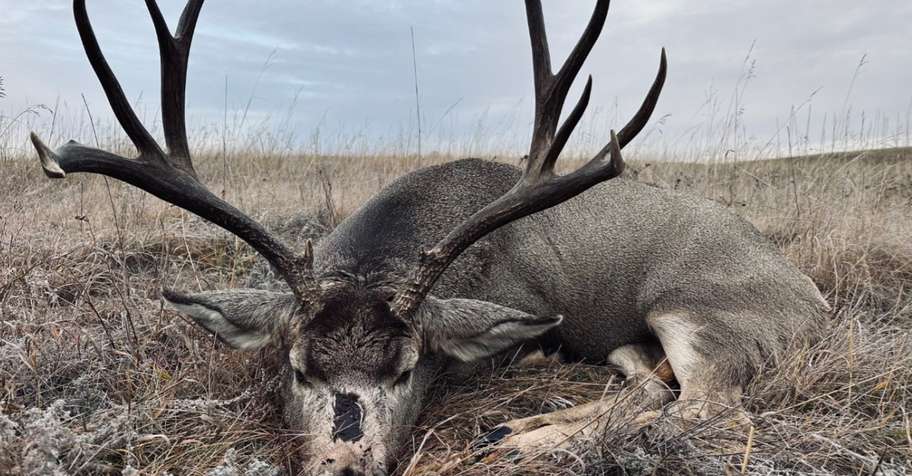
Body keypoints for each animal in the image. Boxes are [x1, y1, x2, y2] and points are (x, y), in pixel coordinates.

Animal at [30, 1, 830, 475]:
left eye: (410, 368)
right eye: (296, 368)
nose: (345, 469)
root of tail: (813, 297)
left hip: (701, 315)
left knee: (701, 407)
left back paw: (520, 436)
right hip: (644, 338)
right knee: (645, 383)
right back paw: (514, 429)